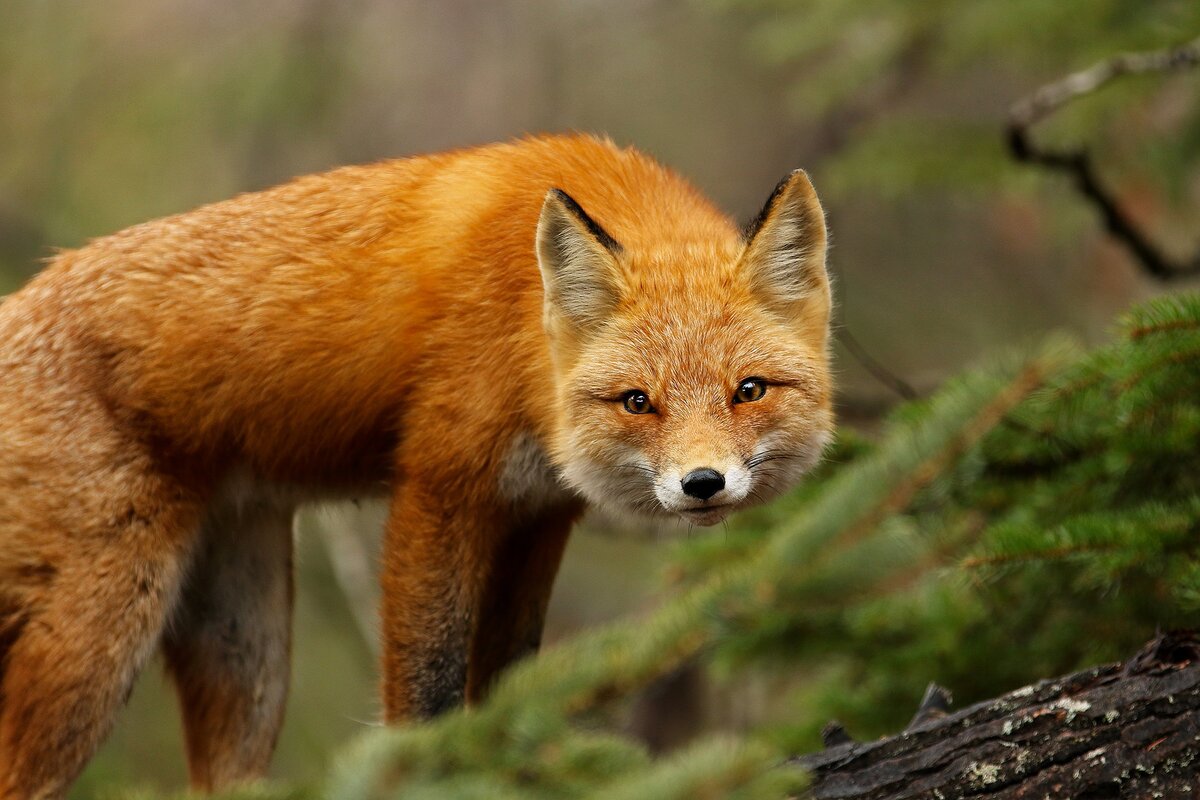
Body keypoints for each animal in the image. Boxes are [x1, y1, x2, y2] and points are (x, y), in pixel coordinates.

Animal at [0, 134, 830, 796]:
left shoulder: (536, 515)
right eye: (638, 402)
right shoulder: (438, 490)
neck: (523, 323)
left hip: (246, 638)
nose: (702, 485)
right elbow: (427, 694)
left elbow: (506, 685)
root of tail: (18, 301)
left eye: (748, 391)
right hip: (102, 635)